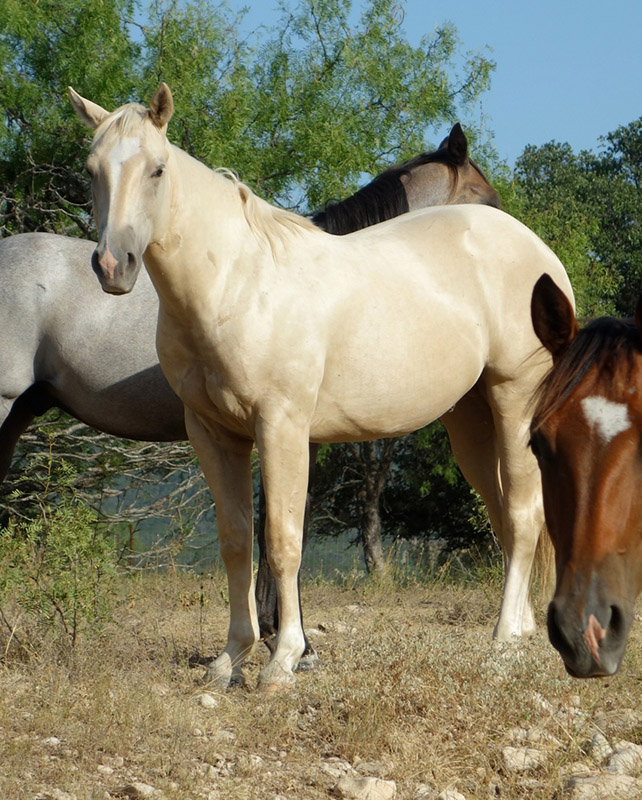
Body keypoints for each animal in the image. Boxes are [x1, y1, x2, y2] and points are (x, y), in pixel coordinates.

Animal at [69, 84, 568, 692]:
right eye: (92, 170)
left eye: (157, 169)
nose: (112, 265)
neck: (236, 283)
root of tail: (541, 258)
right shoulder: (213, 434)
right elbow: (236, 542)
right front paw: (229, 658)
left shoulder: (282, 427)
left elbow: (283, 543)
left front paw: (283, 660)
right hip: (472, 423)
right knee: (507, 517)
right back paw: (520, 635)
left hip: (515, 401)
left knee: (522, 514)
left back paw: (501, 647)